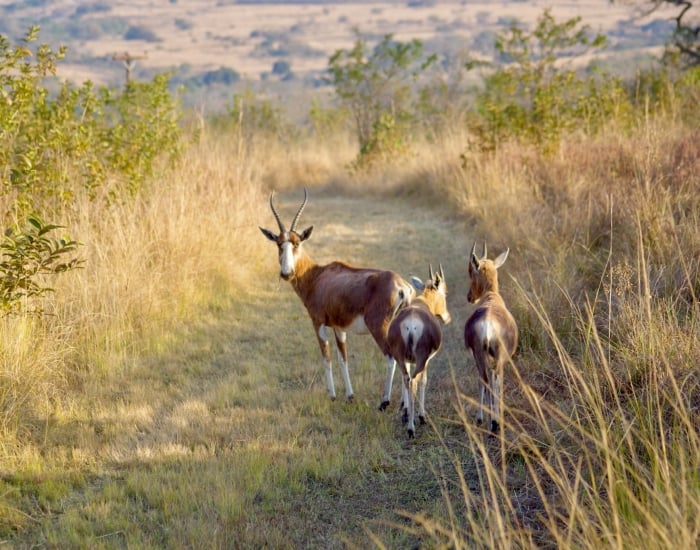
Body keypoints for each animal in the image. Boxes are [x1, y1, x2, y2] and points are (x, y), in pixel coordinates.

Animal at [262, 192, 416, 404]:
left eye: (296, 243)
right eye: (278, 243)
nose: (286, 273)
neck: (317, 275)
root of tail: (402, 287)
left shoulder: (318, 323)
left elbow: (326, 357)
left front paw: (332, 395)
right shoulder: (339, 327)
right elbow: (343, 358)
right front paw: (350, 395)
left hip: (379, 328)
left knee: (391, 357)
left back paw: (384, 402)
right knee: (405, 362)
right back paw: (403, 405)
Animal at [386, 266, 452, 442]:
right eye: (445, 292)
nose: (447, 318)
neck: (422, 304)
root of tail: (411, 323)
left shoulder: (408, 360)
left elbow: (405, 380)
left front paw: (406, 412)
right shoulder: (426, 361)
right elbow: (424, 381)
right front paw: (421, 417)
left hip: (400, 358)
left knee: (407, 379)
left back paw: (407, 418)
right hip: (421, 360)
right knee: (414, 382)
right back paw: (412, 428)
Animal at [464, 243, 520, 436]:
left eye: (470, 271)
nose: (470, 297)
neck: (491, 297)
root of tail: (487, 324)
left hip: (484, 357)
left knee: (488, 381)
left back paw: (493, 422)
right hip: (495, 359)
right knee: (494, 382)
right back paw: (495, 423)